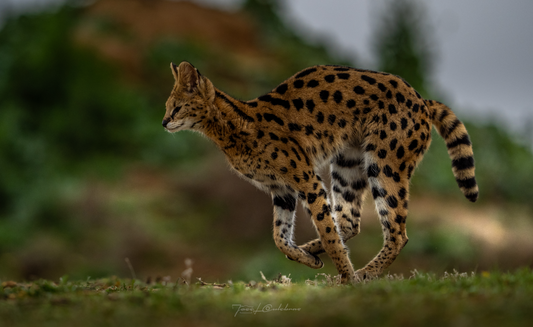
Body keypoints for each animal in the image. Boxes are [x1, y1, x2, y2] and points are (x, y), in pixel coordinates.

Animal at [162, 61, 478, 284]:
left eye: (176, 108)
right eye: (167, 107)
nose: (164, 122)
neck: (229, 128)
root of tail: (422, 100)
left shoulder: (306, 181)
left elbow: (326, 232)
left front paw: (347, 277)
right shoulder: (282, 190)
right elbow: (280, 237)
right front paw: (307, 257)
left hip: (385, 165)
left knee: (397, 233)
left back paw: (363, 273)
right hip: (348, 167)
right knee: (349, 222)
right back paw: (313, 252)